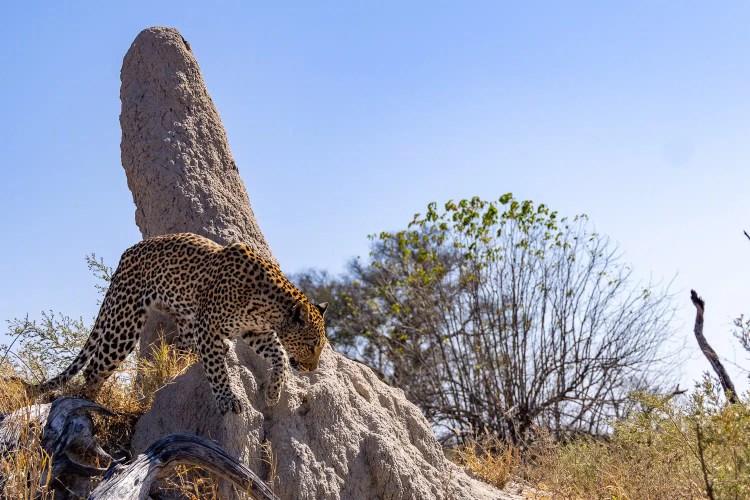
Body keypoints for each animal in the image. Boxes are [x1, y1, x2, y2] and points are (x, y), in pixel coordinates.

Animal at [37, 232, 328, 414]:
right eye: (312, 345)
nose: (312, 368)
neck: (270, 308)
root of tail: (125, 255)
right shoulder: (209, 325)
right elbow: (217, 370)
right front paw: (227, 401)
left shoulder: (254, 331)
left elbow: (279, 355)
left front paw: (273, 393)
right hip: (125, 323)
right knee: (93, 369)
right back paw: (91, 406)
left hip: (183, 317)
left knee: (181, 347)